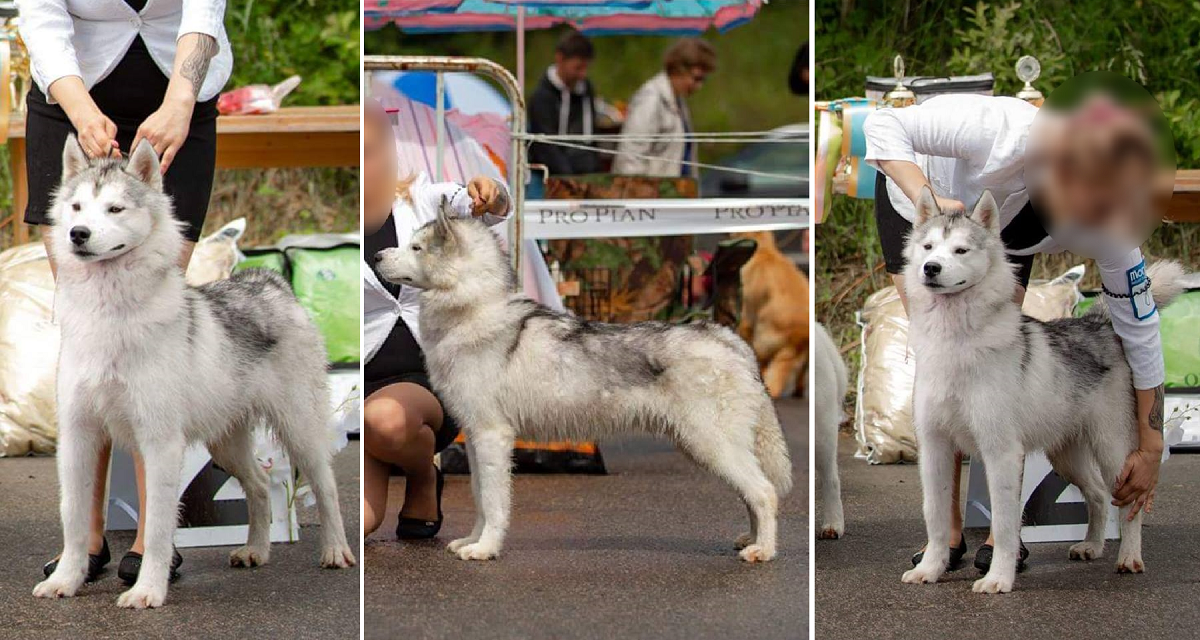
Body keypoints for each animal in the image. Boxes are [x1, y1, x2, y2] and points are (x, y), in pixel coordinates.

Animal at [31, 136, 350, 609]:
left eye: (115, 209)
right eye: (76, 208)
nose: (78, 234)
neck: (110, 317)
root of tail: (270, 282)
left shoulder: (160, 444)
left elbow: (158, 527)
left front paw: (147, 588)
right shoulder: (78, 437)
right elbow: (73, 518)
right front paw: (67, 579)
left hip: (300, 431)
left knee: (327, 487)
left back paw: (335, 550)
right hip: (226, 446)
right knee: (259, 486)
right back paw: (256, 550)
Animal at [372, 199, 787, 559]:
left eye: (416, 247)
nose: (375, 256)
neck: (473, 310)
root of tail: (730, 339)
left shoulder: (492, 436)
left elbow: (494, 502)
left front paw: (486, 550)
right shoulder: (475, 438)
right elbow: (479, 498)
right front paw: (472, 542)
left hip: (710, 445)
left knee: (765, 492)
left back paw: (763, 551)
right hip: (704, 447)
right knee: (752, 494)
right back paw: (750, 539)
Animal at [902, 186, 1180, 593]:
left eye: (961, 251)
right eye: (928, 247)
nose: (931, 269)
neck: (956, 343)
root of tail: (1099, 324)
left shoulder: (1001, 454)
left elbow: (1004, 525)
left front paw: (998, 577)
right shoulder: (935, 449)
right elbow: (936, 518)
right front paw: (931, 568)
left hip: (1113, 453)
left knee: (1126, 508)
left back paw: (1129, 557)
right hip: (1066, 459)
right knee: (1097, 497)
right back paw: (1091, 546)